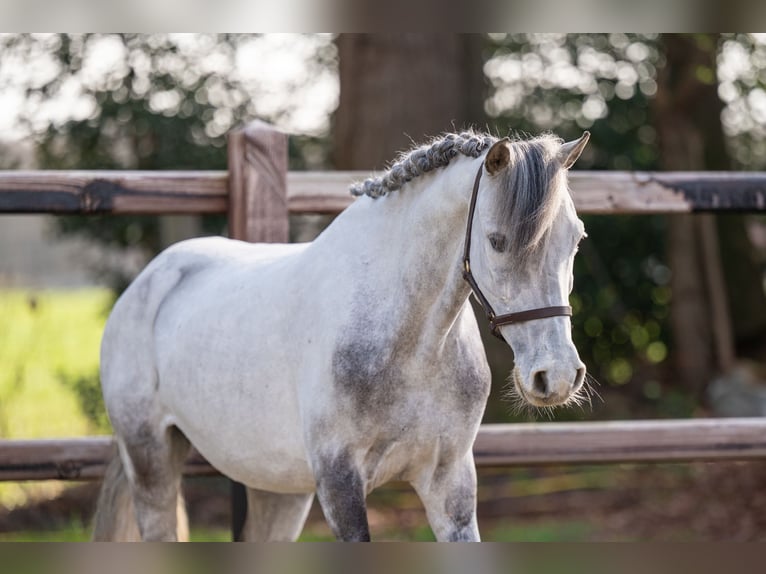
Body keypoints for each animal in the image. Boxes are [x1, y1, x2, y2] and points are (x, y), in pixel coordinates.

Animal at [92, 129, 590, 542]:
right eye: (497, 240)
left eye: (577, 239)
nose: (556, 377)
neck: (410, 344)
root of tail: (150, 279)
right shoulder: (339, 481)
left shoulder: (451, 480)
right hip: (150, 462)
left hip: (278, 487)